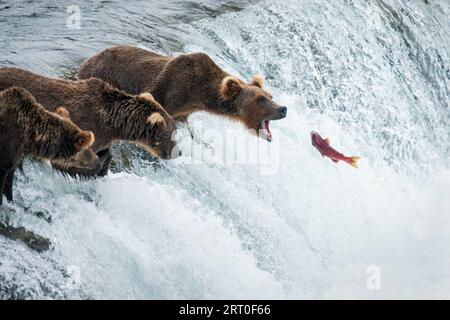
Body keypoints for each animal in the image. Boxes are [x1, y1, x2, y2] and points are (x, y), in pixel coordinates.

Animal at [78, 45, 286, 141]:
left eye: (270, 96)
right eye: (260, 99)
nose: (283, 109)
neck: (198, 94)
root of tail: (87, 61)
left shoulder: (185, 111)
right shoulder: (170, 91)